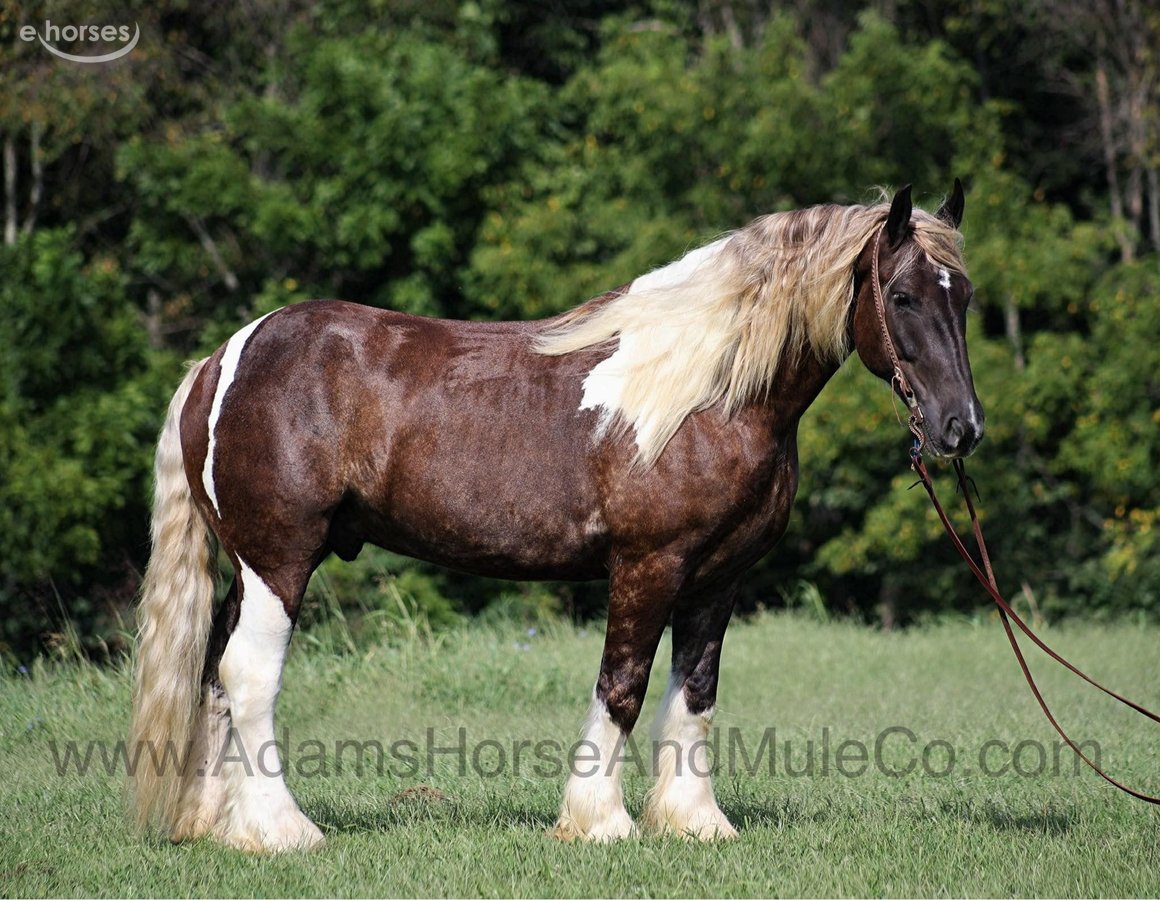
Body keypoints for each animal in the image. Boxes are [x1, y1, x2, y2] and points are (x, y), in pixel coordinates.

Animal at [129, 182, 982, 851]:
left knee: (216, 673)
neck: (706, 397)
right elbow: (624, 686)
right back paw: (283, 831)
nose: (960, 428)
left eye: (964, 297)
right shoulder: (647, 565)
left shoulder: (718, 578)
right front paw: (599, 821)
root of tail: (223, 359)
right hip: (279, 559)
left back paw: (216, 825)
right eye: (903, 296)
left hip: (248, 568)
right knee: (250, 673)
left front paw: (695, 821)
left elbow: (696, 691)